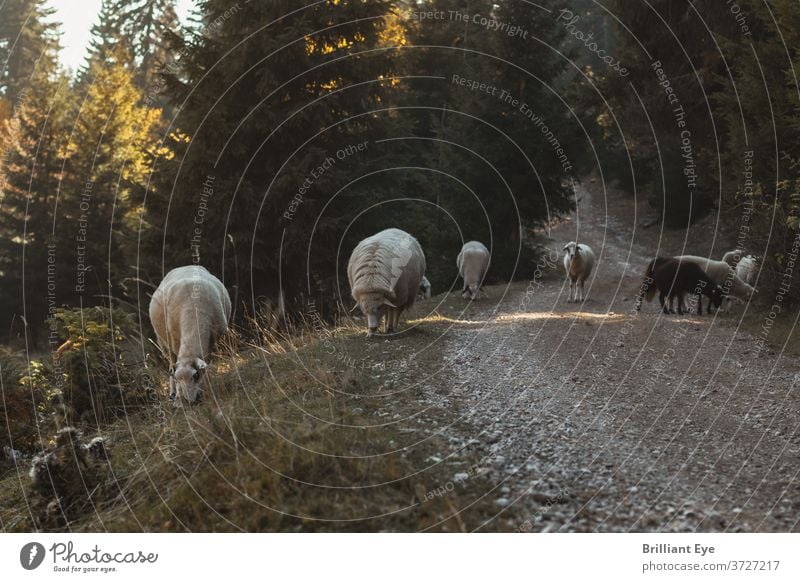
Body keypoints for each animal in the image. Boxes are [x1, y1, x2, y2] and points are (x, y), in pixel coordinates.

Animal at [148, 266, 231, 406]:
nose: (191, 402)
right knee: (171, 362)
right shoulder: (175, 341)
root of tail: (183, 267)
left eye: (195, 375)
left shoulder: (215, 341)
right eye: (178, 379)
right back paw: (172, 394)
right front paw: (178, 397)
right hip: (164, 343)